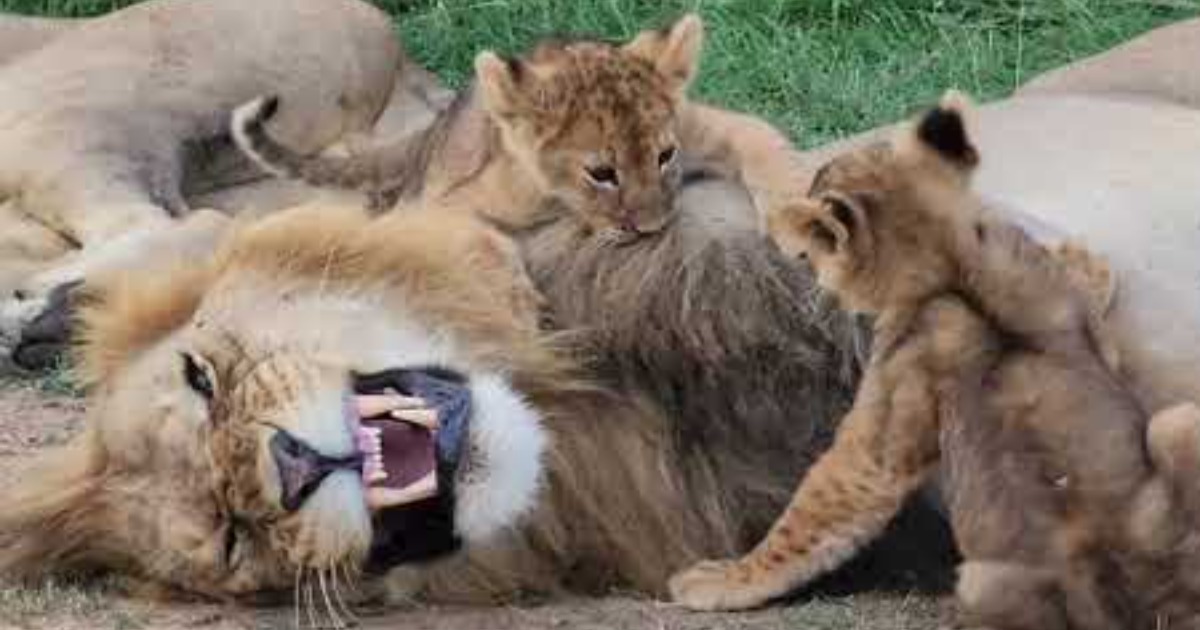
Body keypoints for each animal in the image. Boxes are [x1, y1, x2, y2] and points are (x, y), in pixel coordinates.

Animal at [672, 94, 1200, 628]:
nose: (785, 231)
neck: (946, 260)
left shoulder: (886, 408)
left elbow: (818, 510)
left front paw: (721, 579)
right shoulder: (1051, 290)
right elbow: (1092, 292)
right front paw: (1084, 257)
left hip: (976, 579)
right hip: (1176, 422)